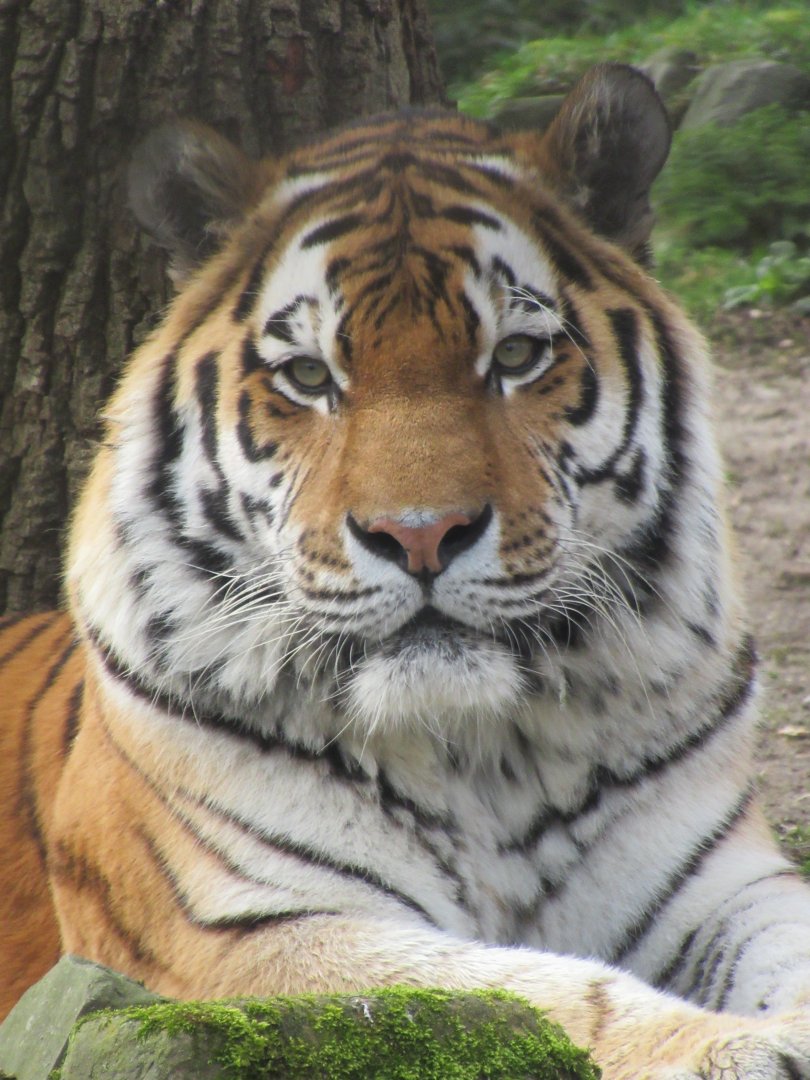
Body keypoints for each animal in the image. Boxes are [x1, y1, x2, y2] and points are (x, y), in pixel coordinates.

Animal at [2, 62, 810, 1078]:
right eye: (309, 376)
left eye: (516, 356)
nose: (420, 535)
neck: (485, 754)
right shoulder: (245, 930)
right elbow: (541, 991)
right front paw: (722, 1046)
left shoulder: (720, 882)